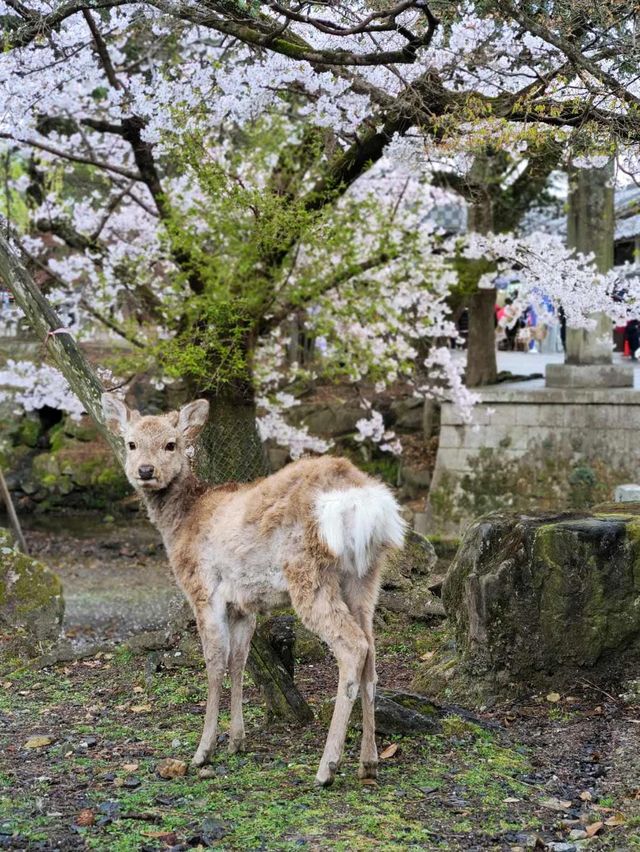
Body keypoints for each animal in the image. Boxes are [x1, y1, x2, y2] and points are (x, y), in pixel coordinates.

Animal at [103, 392, 404, 784]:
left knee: (353, 647)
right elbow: (239, 661)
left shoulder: (203, 591)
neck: (182, 524)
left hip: (308, 571)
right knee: (371, 653)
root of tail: (367, 504)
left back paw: (327, 767)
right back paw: (368, 761)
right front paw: (237, 741)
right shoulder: (243, 605)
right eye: (131, 443)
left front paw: (203, 751)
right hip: (365, 576)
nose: (145, 471)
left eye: (171, 444)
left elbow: (214, 664)